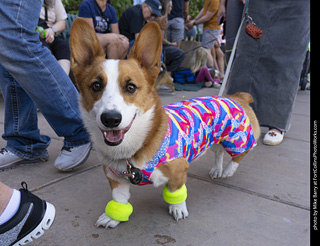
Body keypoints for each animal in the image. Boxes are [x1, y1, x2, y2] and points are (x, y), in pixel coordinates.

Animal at [70, 17, 260, 229]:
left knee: (241, 153)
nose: (111, 119)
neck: (135, 148)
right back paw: (217, 169)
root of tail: (236, 96)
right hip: (217, 138)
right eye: (96, 85)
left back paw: (228, 170)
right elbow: (120, 199)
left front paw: (177, 209)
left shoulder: (179, 172)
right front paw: (114, 217)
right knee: (218, 152)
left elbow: (176, 193)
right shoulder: (116, 178)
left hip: (237, 138)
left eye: (131, 87)